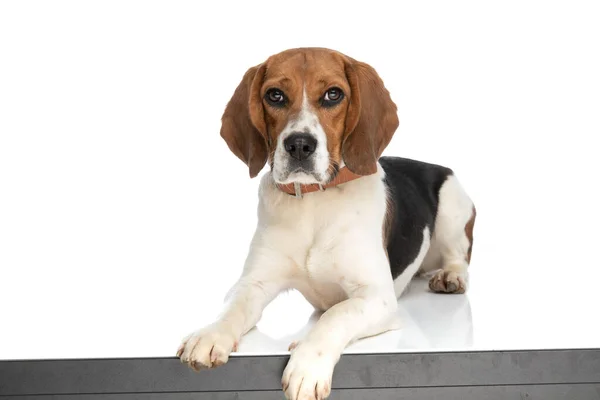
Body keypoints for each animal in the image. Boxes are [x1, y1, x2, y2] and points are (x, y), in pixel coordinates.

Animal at [176, 47, 476, 400]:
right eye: (274, 95)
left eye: (334, 94)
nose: (299, 144)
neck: (313, 202)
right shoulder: (254, 283)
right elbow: (231, 308)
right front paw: (209, 335)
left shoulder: (377, 298)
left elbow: (335, 314)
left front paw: (307, 365)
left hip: (453, 208)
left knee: (459, 257)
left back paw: (450, 277)